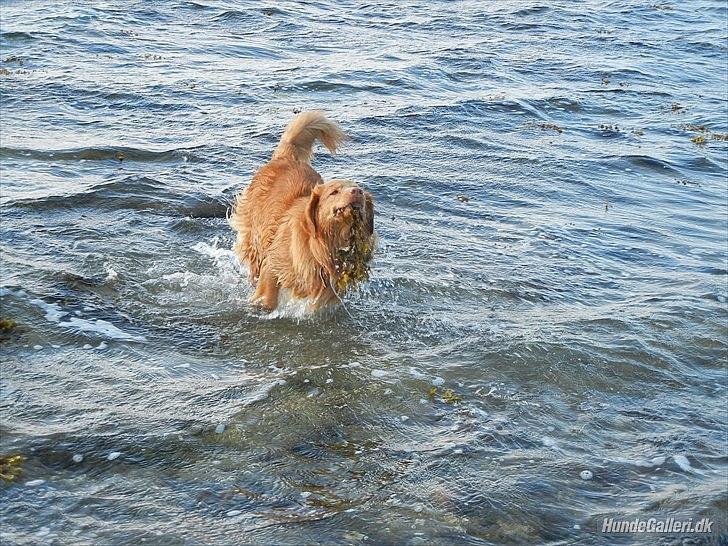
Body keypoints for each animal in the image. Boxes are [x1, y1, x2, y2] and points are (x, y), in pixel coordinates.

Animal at [229, 110, 376, 310]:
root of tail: (286, 158)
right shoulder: (273, 263)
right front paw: (262, 305)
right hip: (253, 238)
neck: (327, 244)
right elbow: (268, 294)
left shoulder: (329, 290)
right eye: (334, 192)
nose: (357, 192)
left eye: (359, 189)